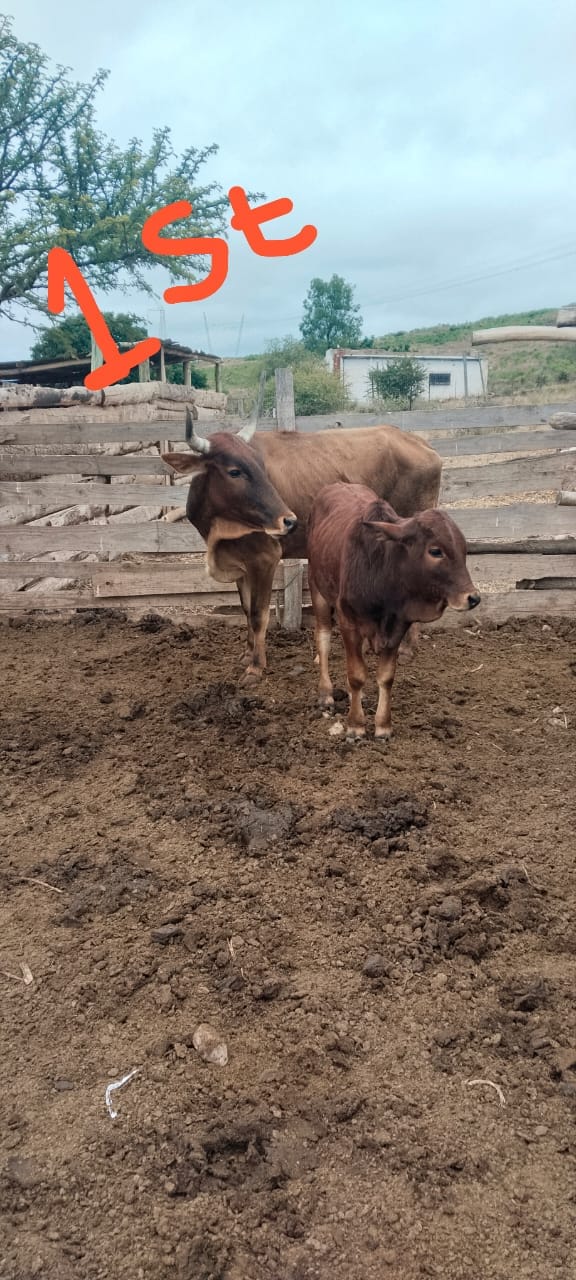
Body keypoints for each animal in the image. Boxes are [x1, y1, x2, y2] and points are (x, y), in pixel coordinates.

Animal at [162, 411, 442, 683]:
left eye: (261, 467)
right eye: (234, 471)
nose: (288, 520)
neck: (219, 532)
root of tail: (422, 444)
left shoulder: (265, 558)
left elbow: (258, 614)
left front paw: (255, 667)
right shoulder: (240, 562)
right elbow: (245, 609)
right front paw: (247, 654)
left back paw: (406, 650)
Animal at [307, 482, 480, 740]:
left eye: (463, 549)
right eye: (435, 551)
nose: (473, 598)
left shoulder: (398, 626)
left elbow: (386, 677)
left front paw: (383, 726)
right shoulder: (348, 622)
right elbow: (356, 674)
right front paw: (356, 725)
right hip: (317, 591)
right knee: (324, 640)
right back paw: (326, 693)